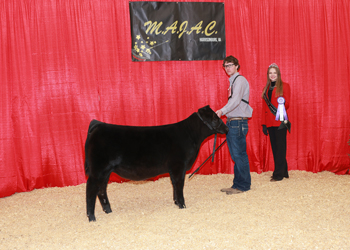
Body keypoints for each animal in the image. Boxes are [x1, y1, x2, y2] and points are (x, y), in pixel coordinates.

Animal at [83, 104, 228, 222]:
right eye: (215, 119)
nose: (226, 128)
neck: (190, 135)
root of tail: (98, 124)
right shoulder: (179, 165)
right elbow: (179, 185)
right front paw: (182, 205)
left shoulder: (173, 168)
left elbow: (174, 185)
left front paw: (176, 203)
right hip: (98, 169)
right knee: (91, 189)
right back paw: (91, 217)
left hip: (105, 171)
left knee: (102, 189)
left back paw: (108, 211)